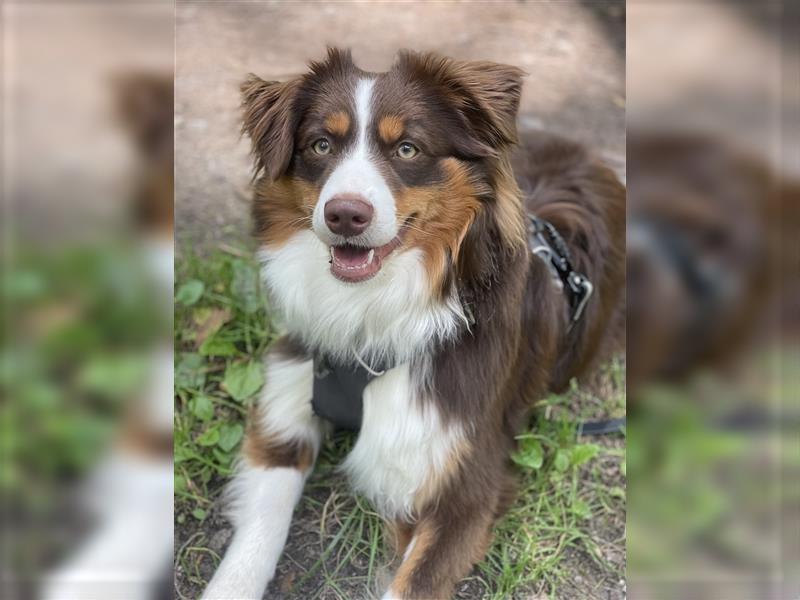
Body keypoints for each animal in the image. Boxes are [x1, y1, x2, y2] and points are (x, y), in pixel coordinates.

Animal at [202, 48, 624, 600]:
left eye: (407, 148)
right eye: (320, 144)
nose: (345, 215)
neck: (372, 312)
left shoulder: (464, 486)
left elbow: (413, 582)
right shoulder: (285, 412)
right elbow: (257, 534)